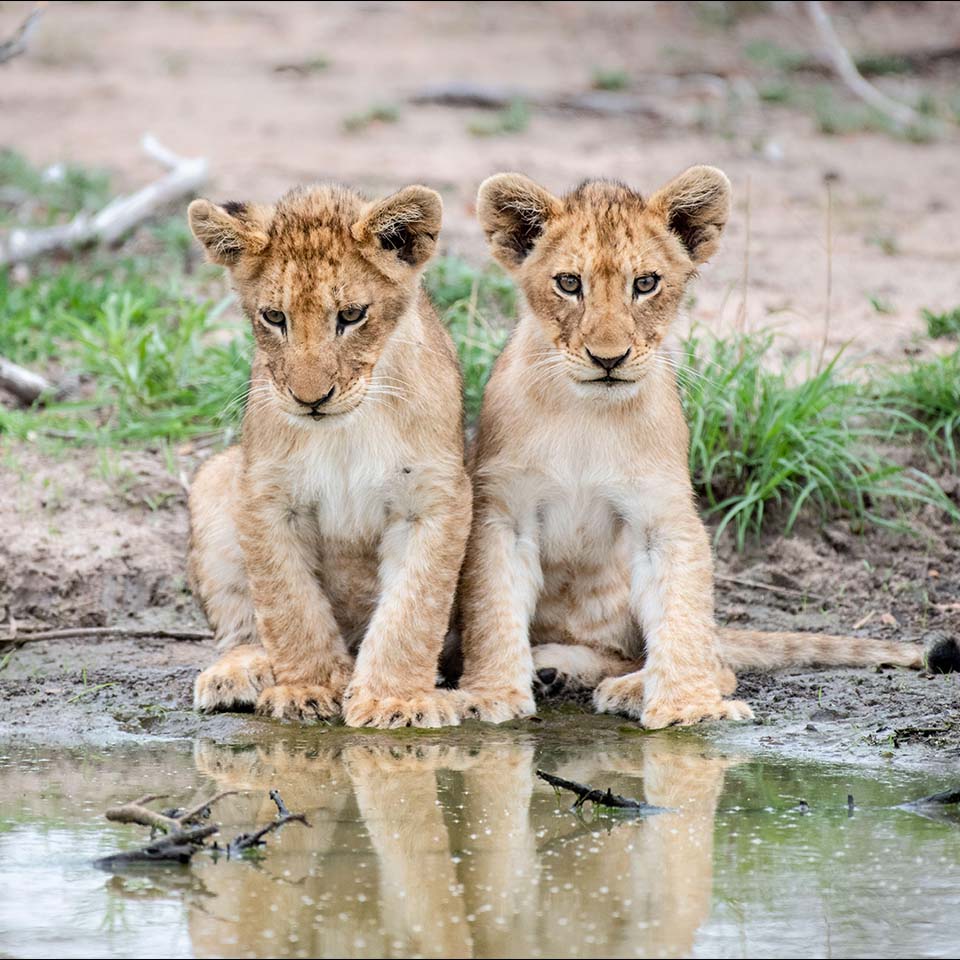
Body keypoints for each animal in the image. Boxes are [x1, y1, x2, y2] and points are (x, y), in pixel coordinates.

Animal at [186, 182, 471, 728]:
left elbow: (413, 608)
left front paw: (394, 700)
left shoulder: (434, 497)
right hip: (216, 476)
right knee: (240, 623)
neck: (347, 430)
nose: (310, 399)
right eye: (275, 317)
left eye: (352, 316)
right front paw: (309, 688)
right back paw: (239, 672)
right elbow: (289, 602)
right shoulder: (266, 493)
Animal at [454, 166, 956, 729]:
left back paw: (622, 684)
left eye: (645, 283)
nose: (609, 359)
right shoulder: (503, 512)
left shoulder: (663, 511)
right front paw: (491, 693)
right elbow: (493, 608)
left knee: (710, 658)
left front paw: (688, 706)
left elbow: (682, 610)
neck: (586, 412)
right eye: (568, 283)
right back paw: (553, 669)